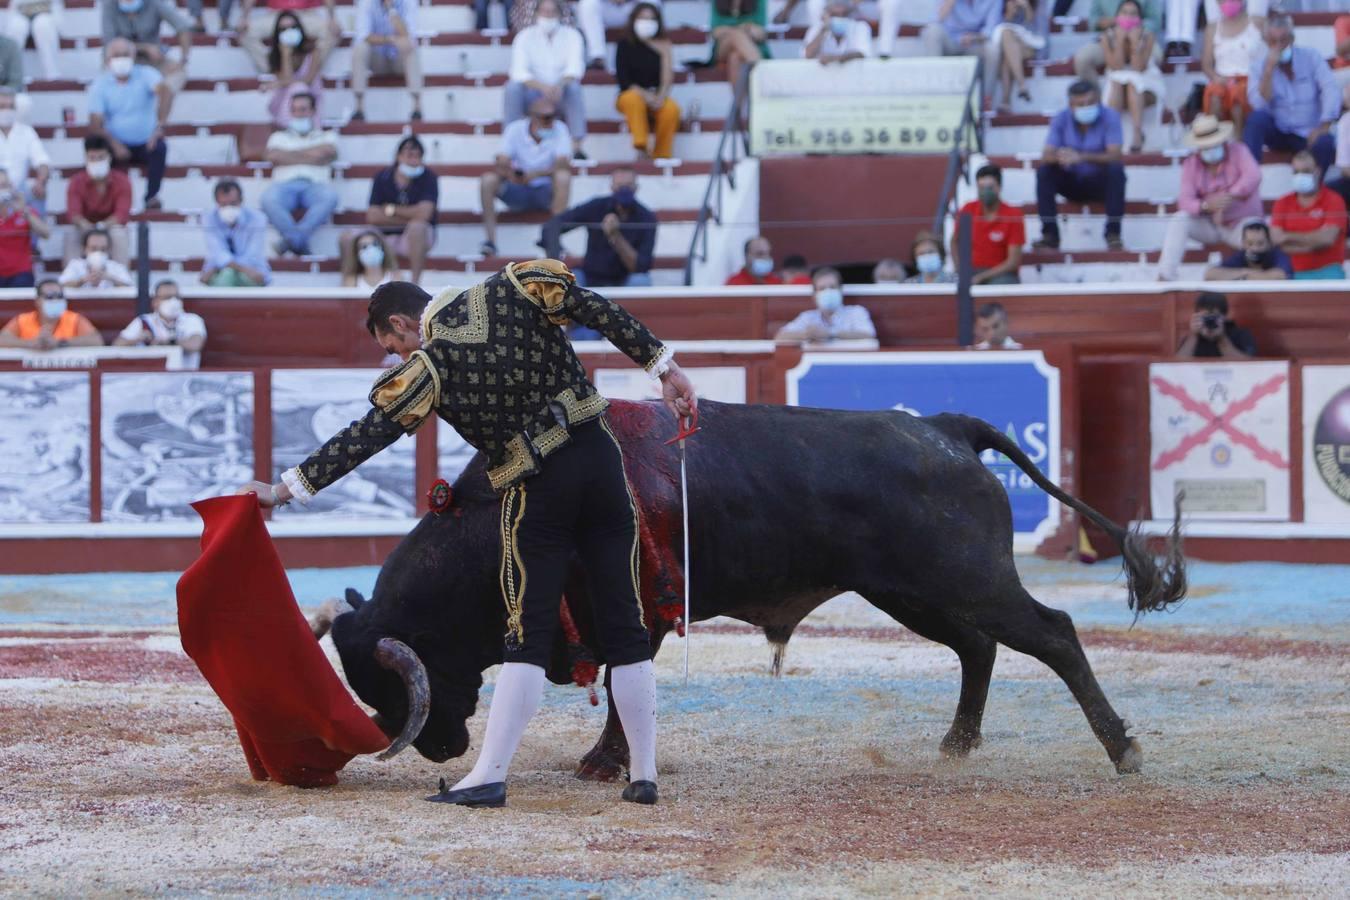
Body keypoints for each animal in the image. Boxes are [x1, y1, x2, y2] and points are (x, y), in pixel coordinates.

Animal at [332, 396, 1188, 777]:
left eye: (394, 682)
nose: (434, 746)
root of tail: (945, 428)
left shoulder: (630, 614)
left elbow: (622, 686)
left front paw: (604, 761)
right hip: (912, 593)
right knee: (978, 648)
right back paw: (957, 743)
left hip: (967, 582)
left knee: (1054, 633)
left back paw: (1123, 749)